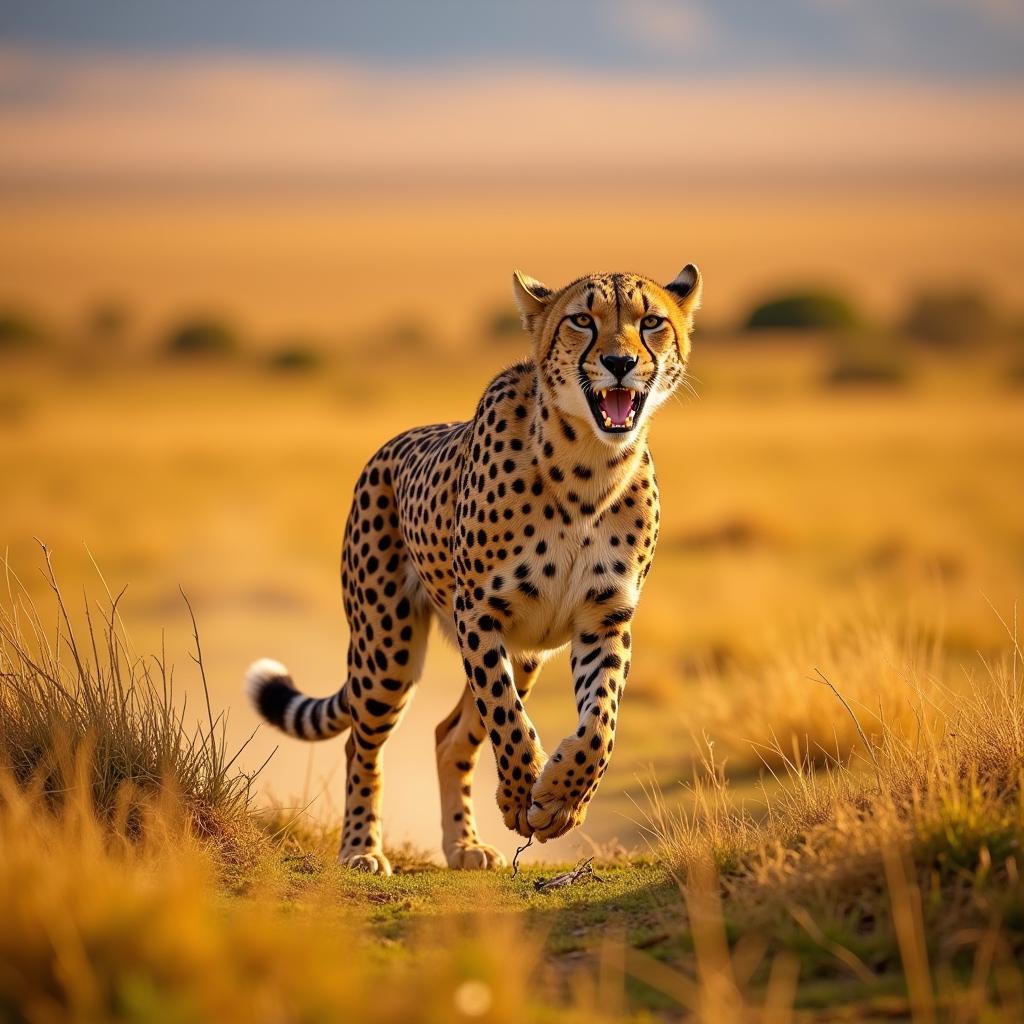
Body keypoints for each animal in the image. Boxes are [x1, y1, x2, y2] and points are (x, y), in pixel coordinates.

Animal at [243, 268, 700, 876]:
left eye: (651, 322)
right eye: (582, 320)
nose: (621, 362)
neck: (588, 468)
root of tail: (388, 447)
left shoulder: (604, 618)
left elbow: (601, 723)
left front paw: (560, 797)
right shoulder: (479, 611)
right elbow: (507, 716)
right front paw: (524, 789)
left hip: (523, 654)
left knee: (449, 735)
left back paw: (465, 845)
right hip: (386, 648)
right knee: (362, 742)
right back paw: (362, 847)